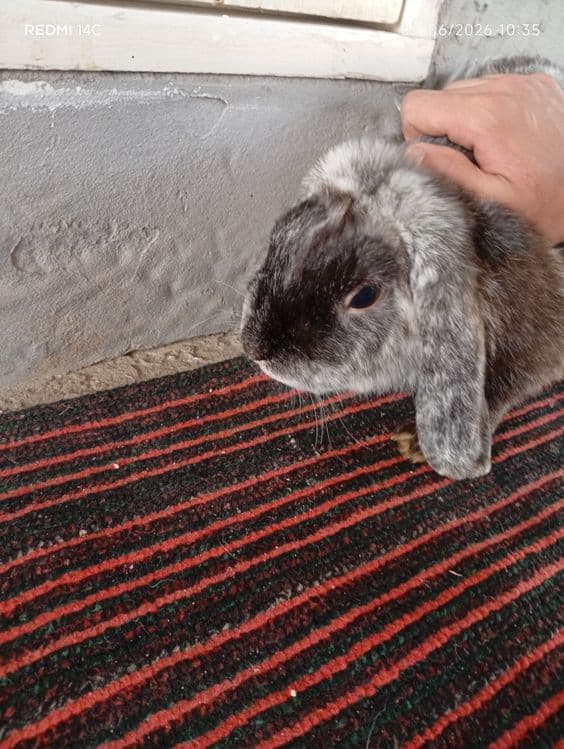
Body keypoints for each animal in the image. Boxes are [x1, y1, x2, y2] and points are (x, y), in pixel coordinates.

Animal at [240, 59, 564, 481]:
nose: (254, 348)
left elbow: (501, 387)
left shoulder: (538, 343)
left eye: (364, 296)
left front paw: (415, 444)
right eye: (279, 237)